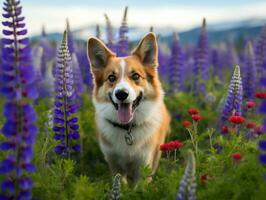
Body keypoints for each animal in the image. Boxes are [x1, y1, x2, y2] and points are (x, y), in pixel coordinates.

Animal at [87, 32, 170, 184]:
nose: (121, 94)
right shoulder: (114, 163)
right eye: (111, 77)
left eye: (136, 76)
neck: (127, 128)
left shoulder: (144, 164)